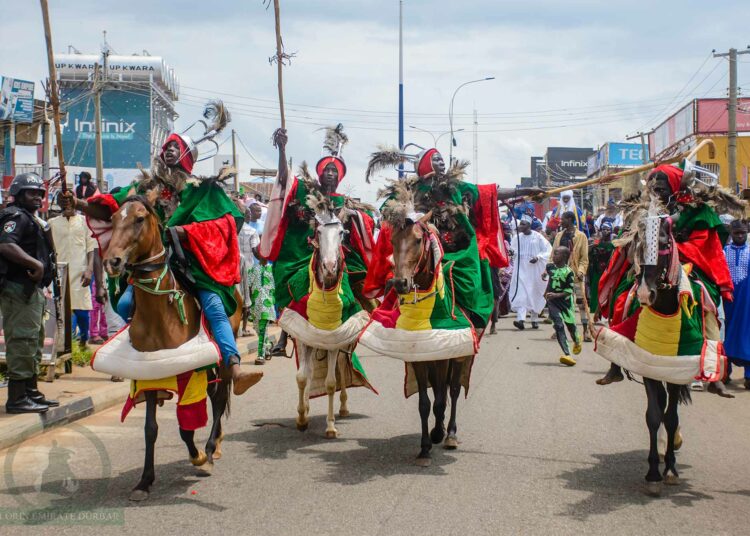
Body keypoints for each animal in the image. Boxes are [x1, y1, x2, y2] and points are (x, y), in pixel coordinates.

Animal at [103, 198, 238, 502]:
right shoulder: (149, 371)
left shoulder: (190, 374)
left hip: (222, 358)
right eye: (113, 219)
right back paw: (216, 444)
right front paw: (144, 481)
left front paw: (199, 457)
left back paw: (210, 450)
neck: (160, 316)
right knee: (215, 396)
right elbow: (150, 429)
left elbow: (186, 426)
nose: (112, 261)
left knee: (219, 398)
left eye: (139, 219)